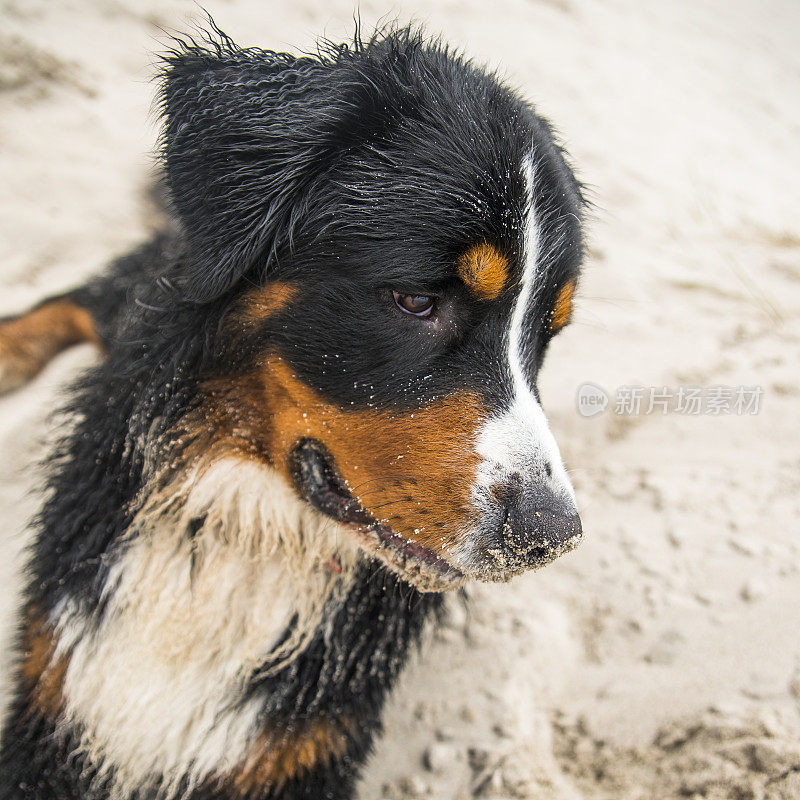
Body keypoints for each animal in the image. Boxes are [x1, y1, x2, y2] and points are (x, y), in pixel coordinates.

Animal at [0, 23, 584, 800]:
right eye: (415, 299)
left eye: (547, 332)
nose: (550, 536)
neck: (244, 532)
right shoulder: (54, 685)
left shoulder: (304, 752)